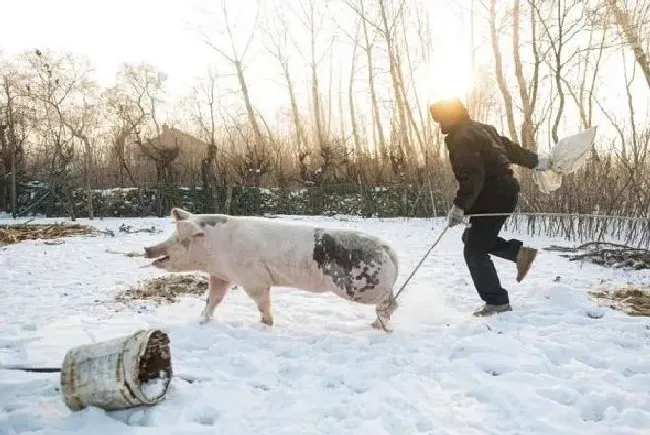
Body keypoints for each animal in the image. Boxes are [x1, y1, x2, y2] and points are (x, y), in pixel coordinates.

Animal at [144, 209, 400, 332]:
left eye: (179, 239)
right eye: (172, 235)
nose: (147, 249)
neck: (214, 251)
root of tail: (388, 249)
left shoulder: (254, 279)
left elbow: (262, 304)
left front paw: (265, 326)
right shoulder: (220, 275)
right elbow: (213, 300)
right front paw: (202, 321)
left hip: (360, 285)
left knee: (390, 303)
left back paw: (379, 326)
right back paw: (376, 325)